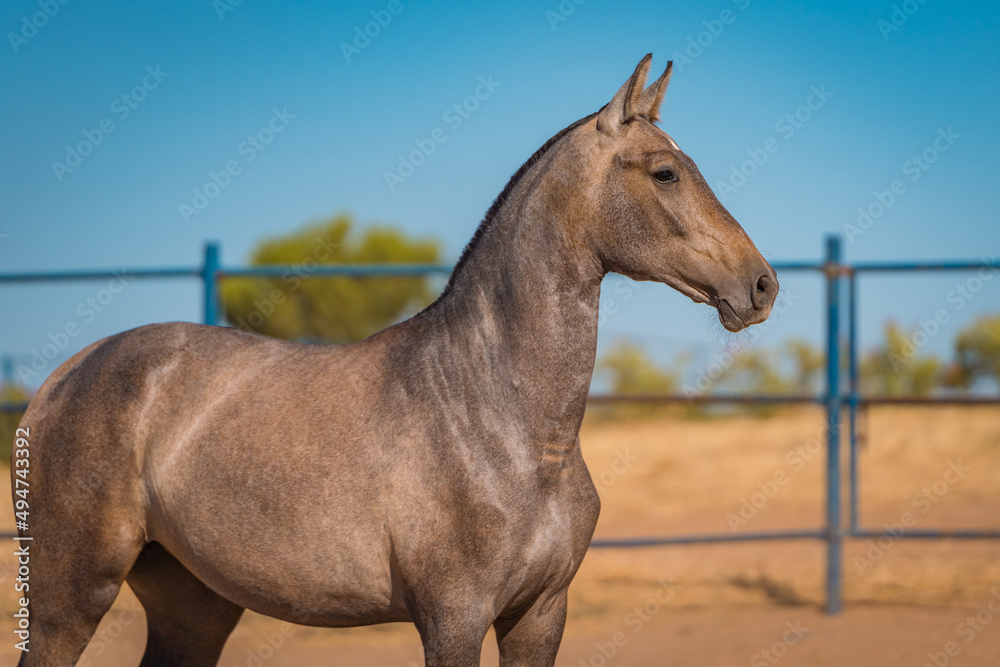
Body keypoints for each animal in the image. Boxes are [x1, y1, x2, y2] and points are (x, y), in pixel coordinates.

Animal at [13, 54, 777, 666]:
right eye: (666, 172)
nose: (761, 285)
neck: (509, 426)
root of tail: (63, 376)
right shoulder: (454, 617)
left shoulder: (540, 614)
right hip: (69, 598)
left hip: (193, 607)